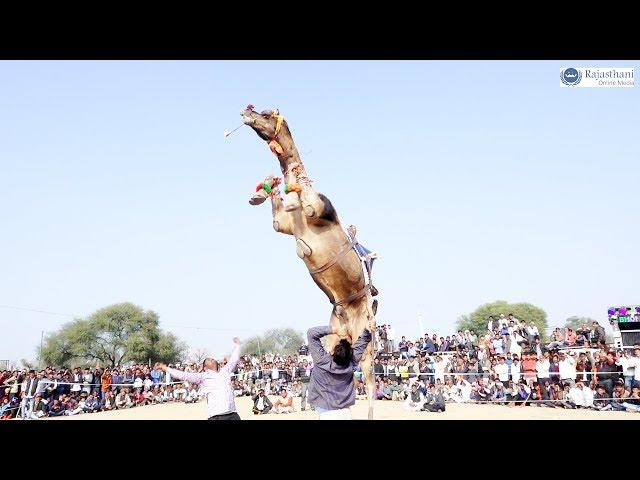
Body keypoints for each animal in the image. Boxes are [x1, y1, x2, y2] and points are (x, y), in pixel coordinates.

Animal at [242, 104, 378, 416]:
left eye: (266, 114)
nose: (246, 111)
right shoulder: (284, 226)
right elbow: (277, 216)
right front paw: (264, 189)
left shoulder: (316, 209)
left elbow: (301, 204)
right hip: (336, 338)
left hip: (366, 339)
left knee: (370, 381)